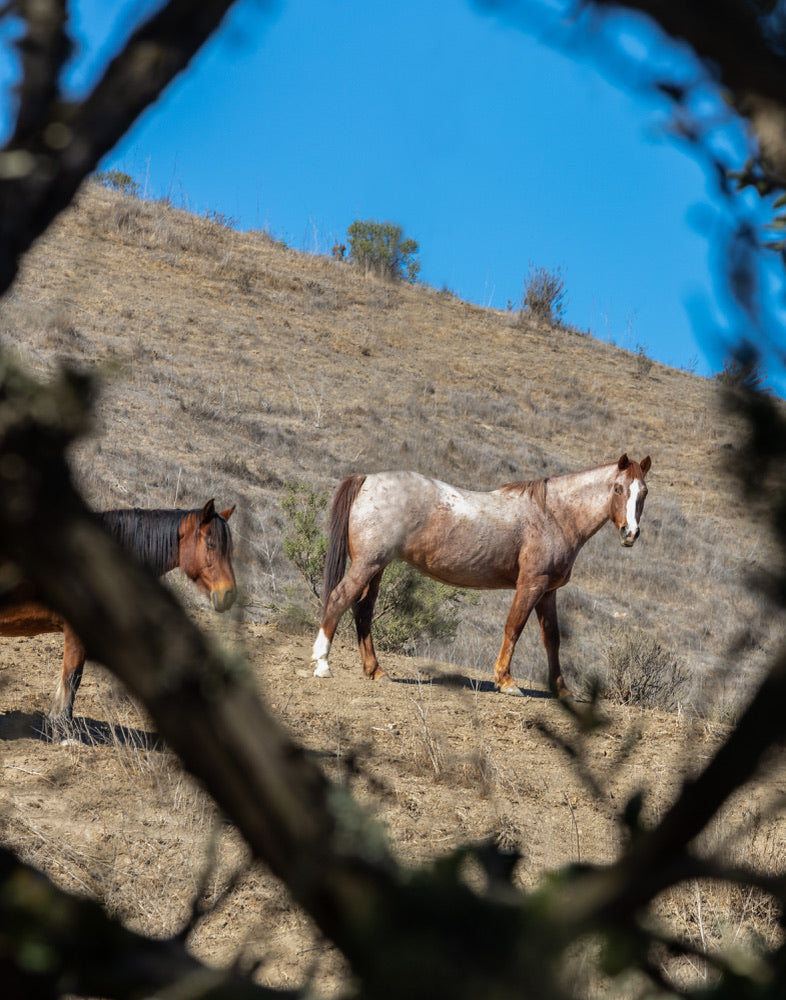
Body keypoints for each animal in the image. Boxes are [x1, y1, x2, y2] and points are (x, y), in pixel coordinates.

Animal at [312, 454, 648, 696]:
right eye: (618, 488)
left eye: (643, 491)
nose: (630, 533)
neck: (553, 514)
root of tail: (366, 478)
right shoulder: (531, 584)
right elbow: (514, 627)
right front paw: (506, 681)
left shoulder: (549, 591)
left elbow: (552, 638)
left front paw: (561, 690)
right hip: (367, 564)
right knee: (339, 598)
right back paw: (322, 664)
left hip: (376, 568)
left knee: (363, 611)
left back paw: (375, 671)